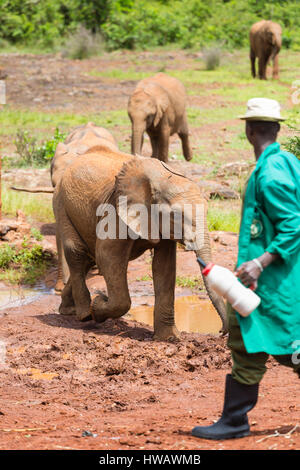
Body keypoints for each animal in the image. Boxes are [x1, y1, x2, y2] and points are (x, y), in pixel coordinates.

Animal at [54, 145, 227, 340]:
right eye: (176, 215)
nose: (221, 332)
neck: (161, 178)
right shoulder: (115, 209)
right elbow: (107, 256)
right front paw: (98, 304)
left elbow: (164, 266)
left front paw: (169, 339)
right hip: (61, 204)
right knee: (77, 252)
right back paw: (84, 314)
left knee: (88, 259)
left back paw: (68, 310)